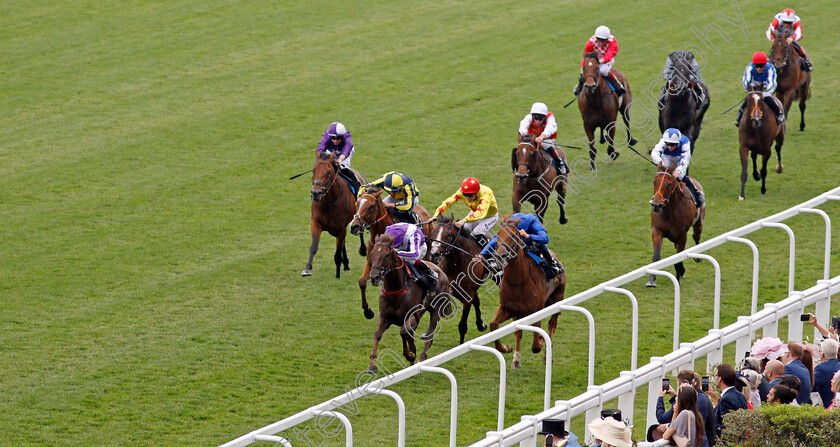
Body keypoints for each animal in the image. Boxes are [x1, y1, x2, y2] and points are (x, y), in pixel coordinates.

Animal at [350, 187, 434, 320]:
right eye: (357, 204)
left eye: (371, 206)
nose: (354, 226)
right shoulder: (371, 261)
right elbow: (362, 281)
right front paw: (367, 311)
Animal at [366, 234, 450, 372]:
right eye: (372, 253)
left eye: (386, 255)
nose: (374, 277)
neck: (395, 289)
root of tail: (441, 272)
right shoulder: (384, 316)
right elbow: (377, 334)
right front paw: (372, 365)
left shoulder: (413, 315)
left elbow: (403, 332)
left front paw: (410, 354)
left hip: (436, 310)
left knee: (429, 337)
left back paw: (421, 358)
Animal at [430, 215, 488, 344]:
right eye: (433, 231)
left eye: (448, 234)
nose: (434, 254)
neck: (456, 262)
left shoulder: (468, 295)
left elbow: (462, 326)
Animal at [486, 215, 564, 370]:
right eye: (498, 235)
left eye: (513, 235)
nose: (500, 255)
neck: (518, 282)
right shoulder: (508, 309)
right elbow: (494, 326)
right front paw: (506, 348)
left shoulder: (537, 310)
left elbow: (536, 343)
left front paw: (541, 340)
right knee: (519, 333)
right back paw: (516, 359)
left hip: (558, 298)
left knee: (552, 324)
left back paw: (547, 355)